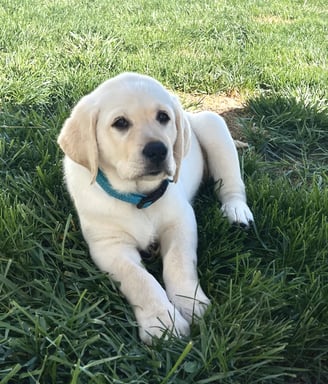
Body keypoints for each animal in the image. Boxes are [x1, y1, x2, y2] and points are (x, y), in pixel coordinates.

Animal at [58, 73, 254, 344]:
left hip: (213, 124)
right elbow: (139, 279)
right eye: (120, 123)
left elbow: (179, 263)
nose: (158, 150)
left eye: (163, 117)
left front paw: (191, 304)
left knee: (232, 184)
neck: (139, 198)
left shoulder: (181, 221)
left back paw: (237, 212)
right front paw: (162, 322)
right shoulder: (109, 245)